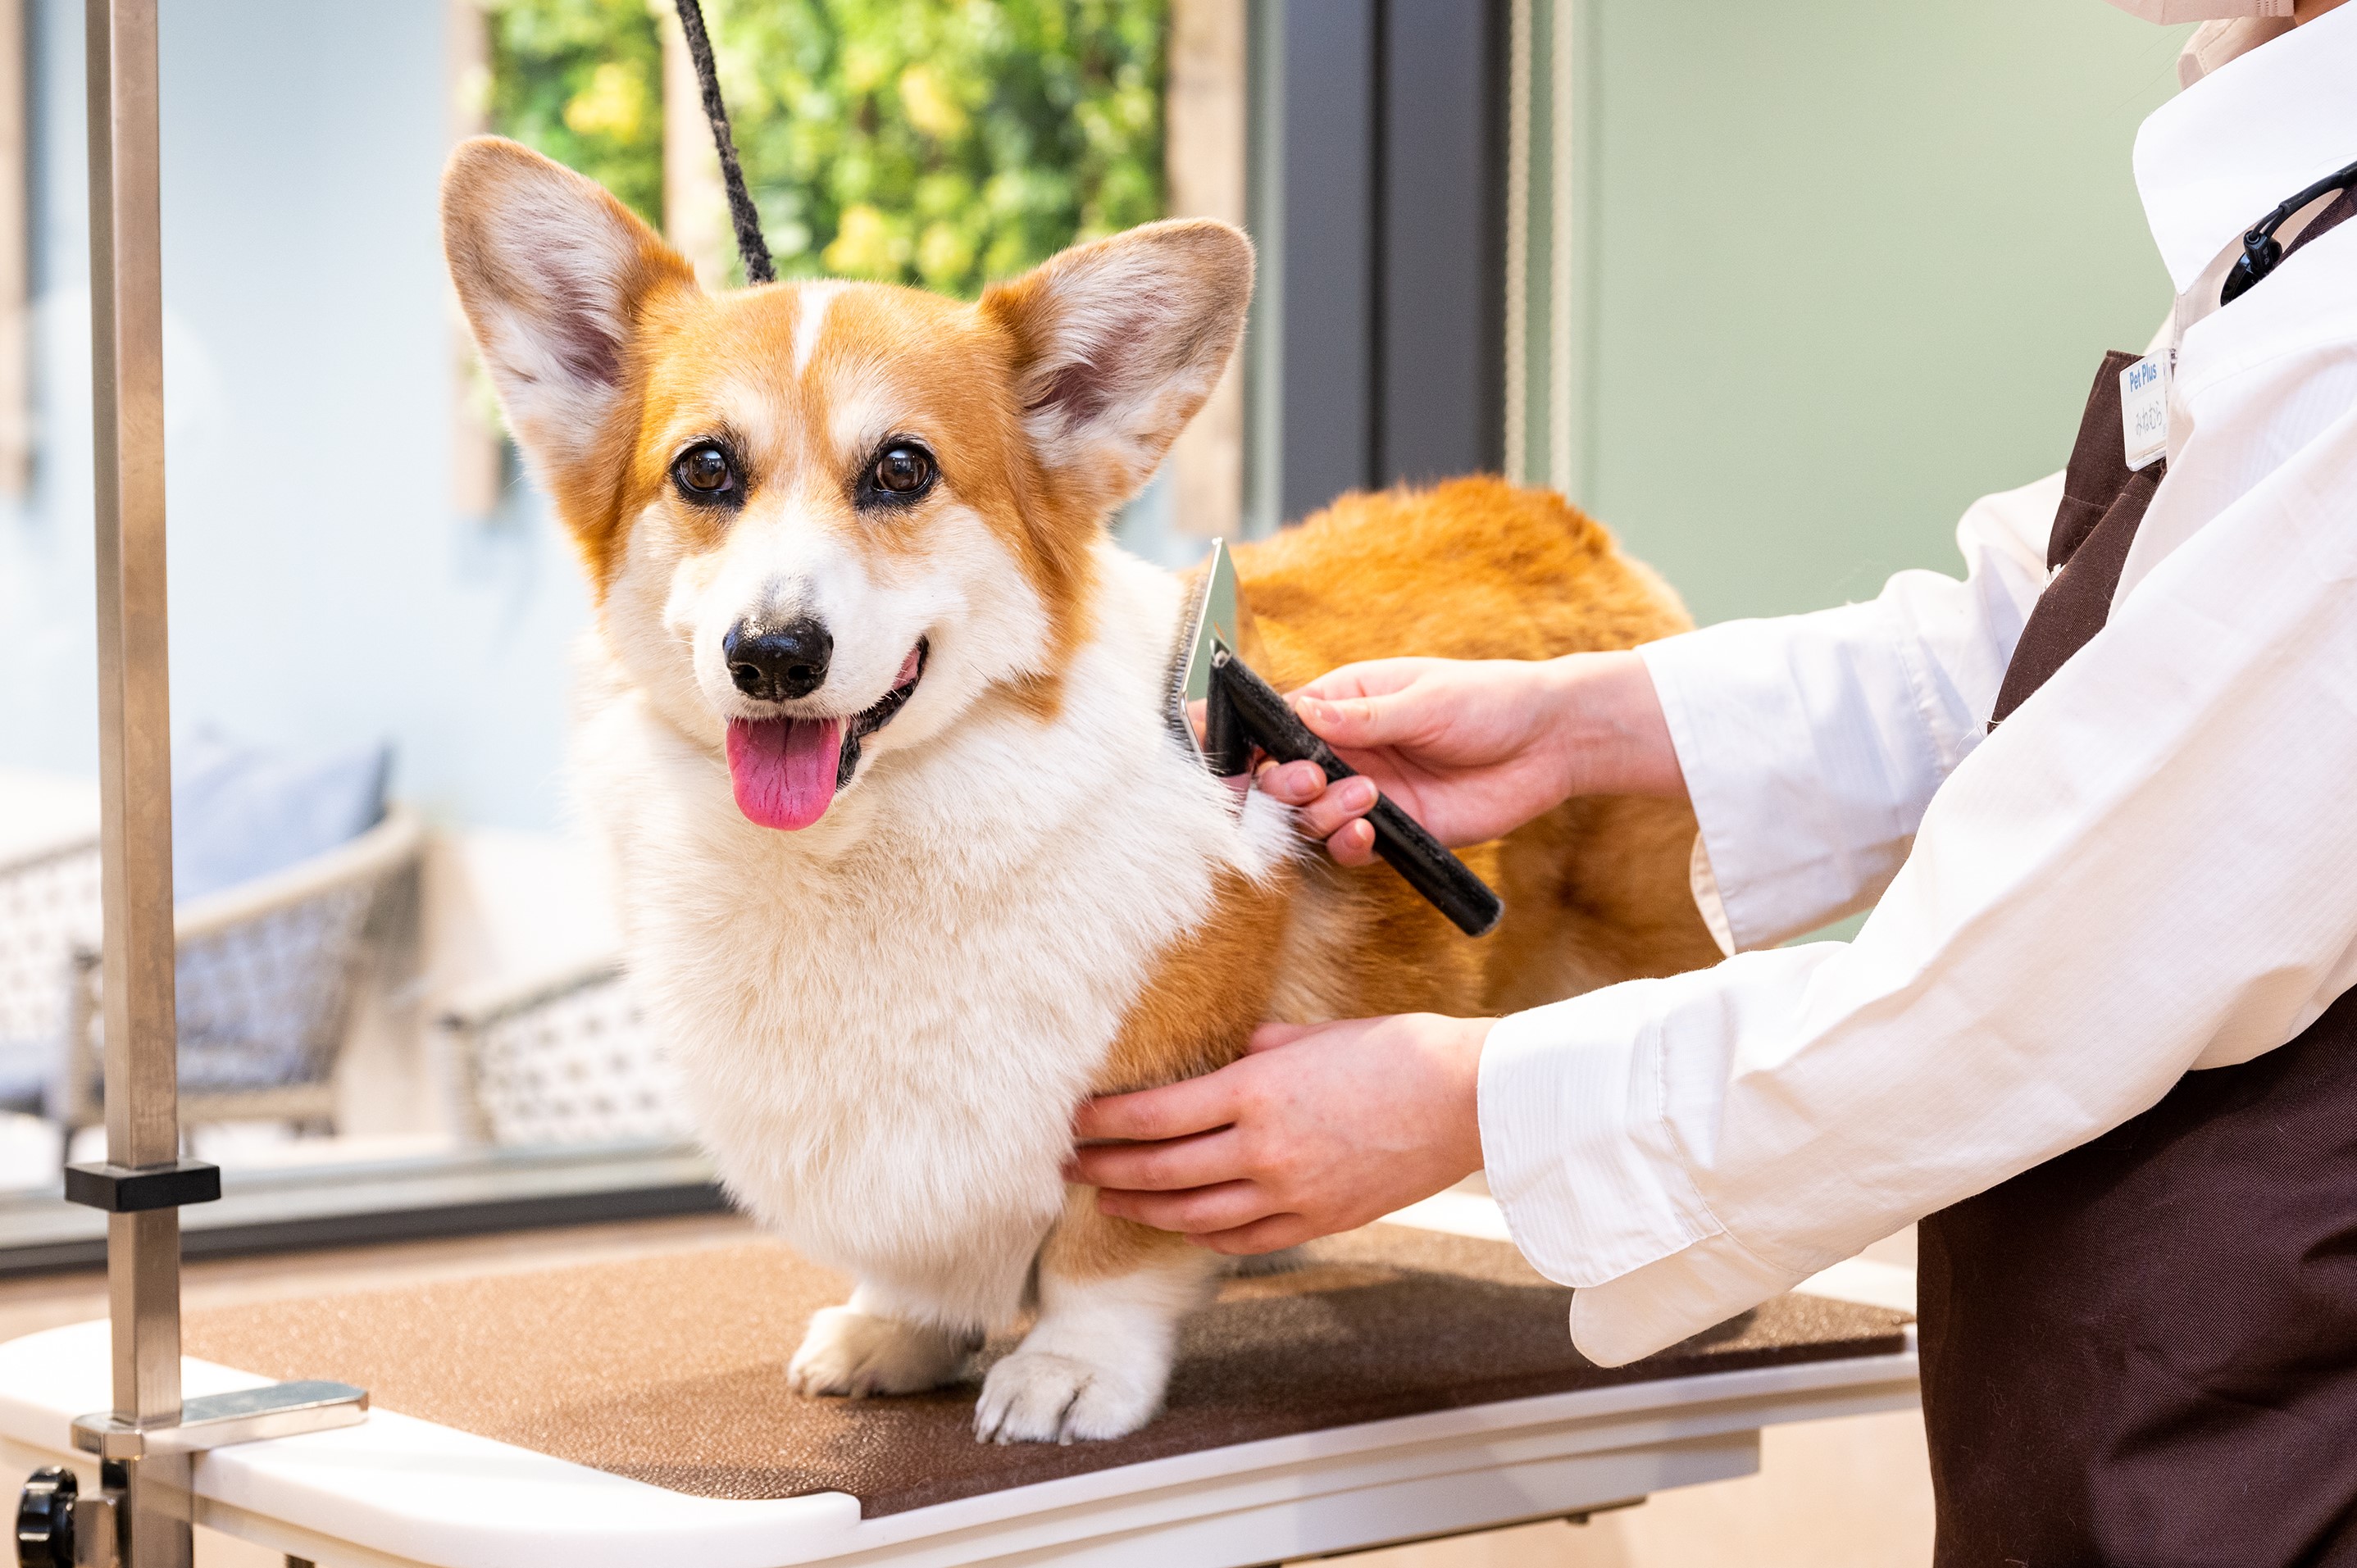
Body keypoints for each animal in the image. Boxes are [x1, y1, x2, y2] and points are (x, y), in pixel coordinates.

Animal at [443, 137, 1725, 1443]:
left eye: (900, 469)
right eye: (704, 468)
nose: (773, 655)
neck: (862, 847)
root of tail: (1550, 518)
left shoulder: (1159, 1100)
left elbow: (1108, 1256)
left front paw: (1068, 1369)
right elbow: (923, 1260)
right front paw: (899, 1327)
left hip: (1642, 952)